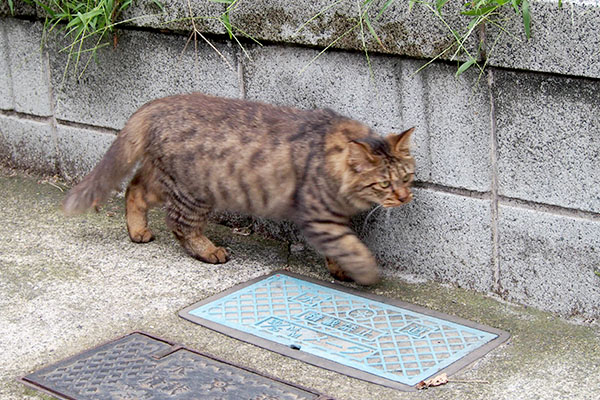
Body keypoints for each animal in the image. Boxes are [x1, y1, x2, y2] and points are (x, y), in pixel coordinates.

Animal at [63, 93, 414, 284]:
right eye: (385, 183)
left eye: (408, 177)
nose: (405, 196)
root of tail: (159, 103)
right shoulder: (319, 218)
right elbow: (351, 246)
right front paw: (367, 272)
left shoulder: (332, 218)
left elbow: (340, 248)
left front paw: (341, 269)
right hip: (193, 192)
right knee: (179, 225)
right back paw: (208, 251)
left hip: (163, 180)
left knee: (133, 189)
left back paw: (137, 231)